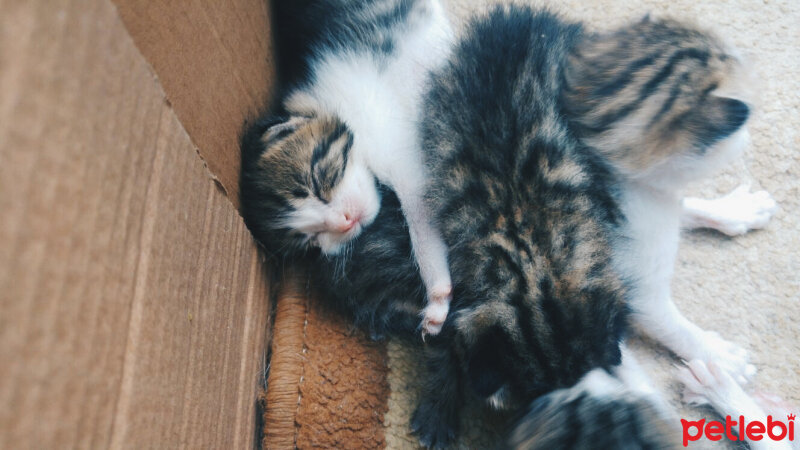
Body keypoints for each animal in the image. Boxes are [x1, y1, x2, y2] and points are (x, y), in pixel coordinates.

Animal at [239, 0, 456, 334]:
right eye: (310, 238)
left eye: (317, 180)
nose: (345, 222)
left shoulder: (396, 145)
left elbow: (419, 207)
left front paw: (437, 293)